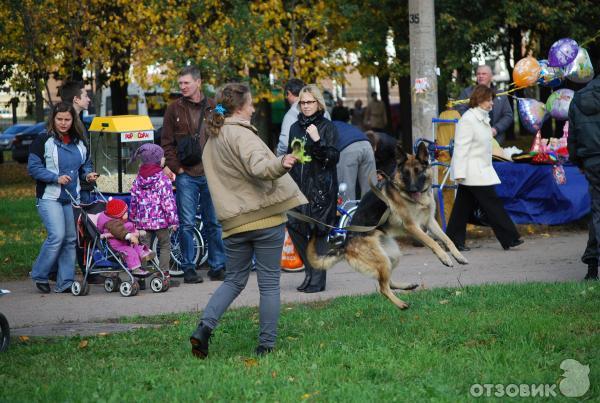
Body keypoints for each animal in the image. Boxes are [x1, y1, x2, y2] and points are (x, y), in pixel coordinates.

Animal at [310, 142, 468, 310]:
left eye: (418, 172)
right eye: (405, 174)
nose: (413, 189)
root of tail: (345, 245)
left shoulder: (430, 222)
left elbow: (448, 239)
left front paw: (459, 256)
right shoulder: (413, 226)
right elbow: (432, 241)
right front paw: (445, 258)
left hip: (392, 256)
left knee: (386, 283)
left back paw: (406, 286)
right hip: (383, 261)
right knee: (383, 288)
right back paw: (401, 304)